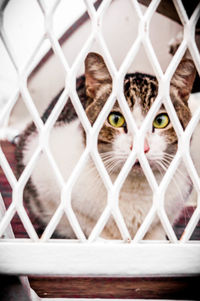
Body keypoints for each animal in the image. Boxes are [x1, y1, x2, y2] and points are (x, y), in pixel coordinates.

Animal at [14, 51, 196, 239]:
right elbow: (85, 222)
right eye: (116, 119)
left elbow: (157, 229)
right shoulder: (39, 164)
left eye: (160, 121)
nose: (140, 147)